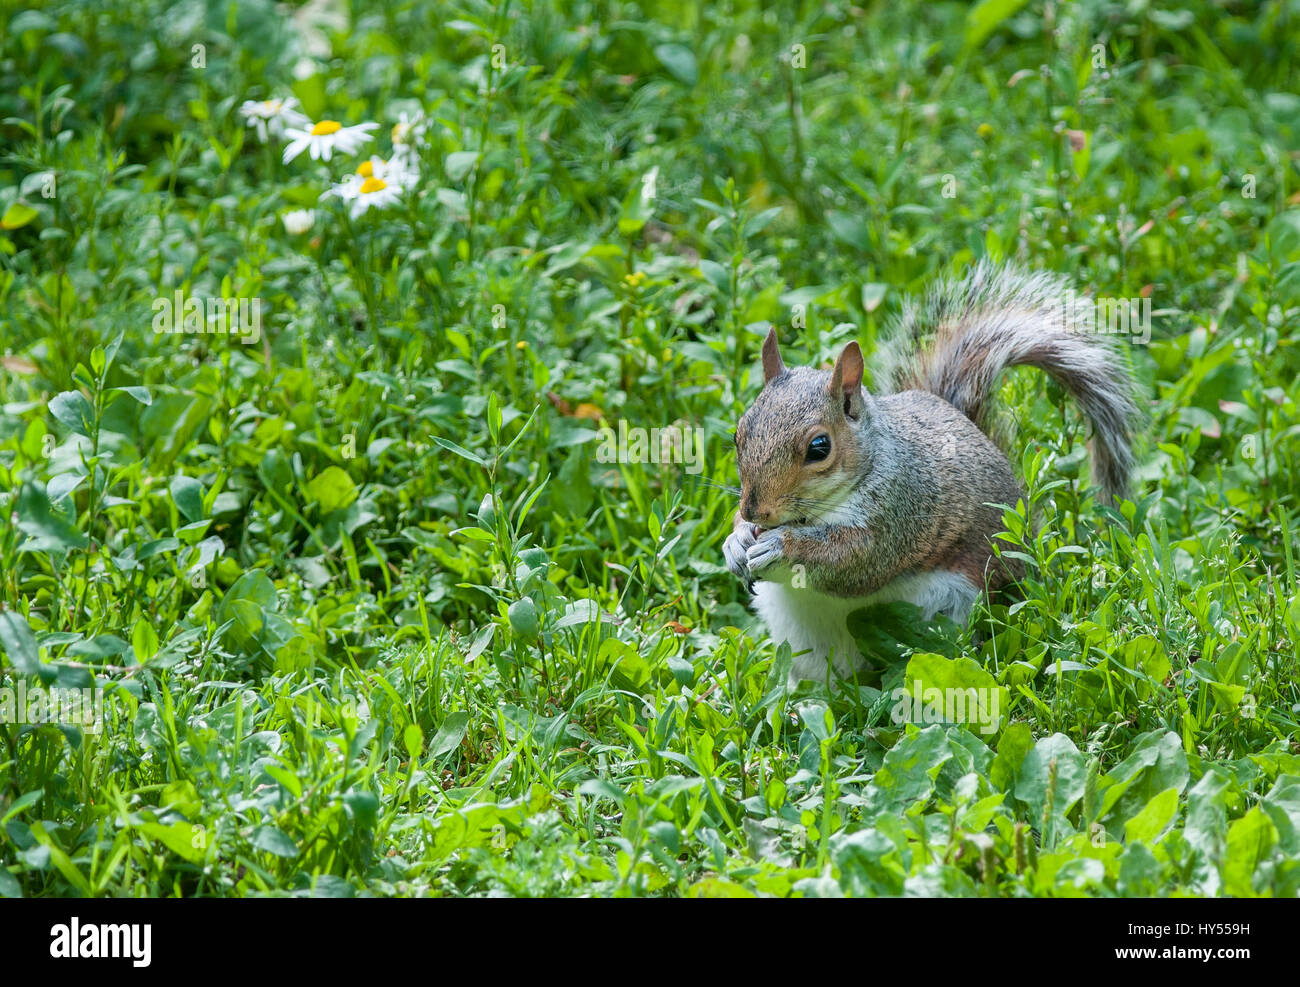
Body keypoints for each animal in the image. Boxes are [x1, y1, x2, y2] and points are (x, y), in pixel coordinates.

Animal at [728, 258, 1144, 681]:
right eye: (738, 433)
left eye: (819, 447)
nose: (755, 511)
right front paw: (737, 540)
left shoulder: (902, 507)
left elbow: (855, 560)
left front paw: (781, 546)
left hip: (953, 606)